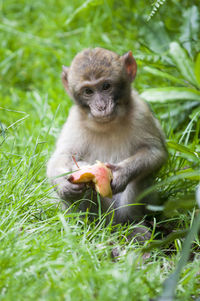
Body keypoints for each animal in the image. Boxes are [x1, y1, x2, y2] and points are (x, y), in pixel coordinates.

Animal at [47, 47, 167, 236]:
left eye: (106, 86)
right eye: (88, 91)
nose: (101, 106)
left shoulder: (141, 113)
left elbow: (155, 152)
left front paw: (122, 173)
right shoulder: (74, 120)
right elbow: (61, 157)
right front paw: (63, 185)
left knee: (142, 177)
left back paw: (133, 226)